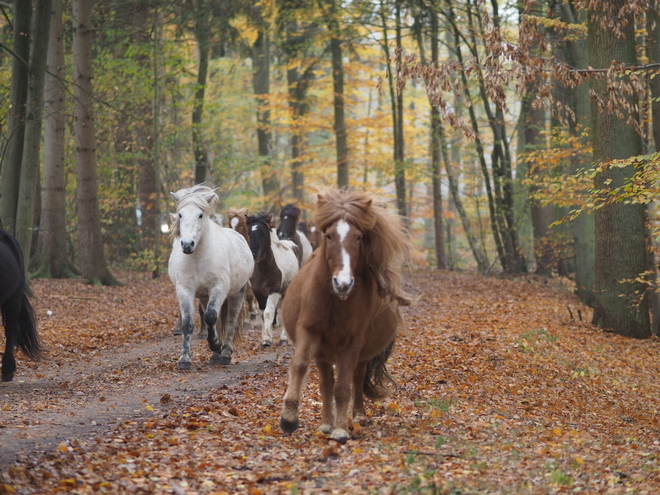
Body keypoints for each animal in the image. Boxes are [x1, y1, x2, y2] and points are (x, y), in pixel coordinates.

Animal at [169, 184, 254, 366]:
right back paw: (215, 354)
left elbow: (211, 317)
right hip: (204, 296)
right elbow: (188, 323)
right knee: (217, 321)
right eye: (180, 214)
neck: (197, 258)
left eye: (200, 215)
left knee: (229, 322)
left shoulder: (218, 288)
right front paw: (184, 359)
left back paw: (224, 353)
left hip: (237, 293)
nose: (187, 244)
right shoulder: (185, 290)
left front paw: (215, 344)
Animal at [280, 188, 412, 444]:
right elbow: (300, 365)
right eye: (329, 236)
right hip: (322, 352)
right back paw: (325, 423)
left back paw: (357, 416)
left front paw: (341, 429)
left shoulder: (352, 343)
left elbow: (343, 386)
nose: (343, 283)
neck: (335, 301)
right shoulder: (308, 332)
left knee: (356, 378)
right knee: (325, 382)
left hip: (360, 353)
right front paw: (289, 418)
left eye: (359, 237)